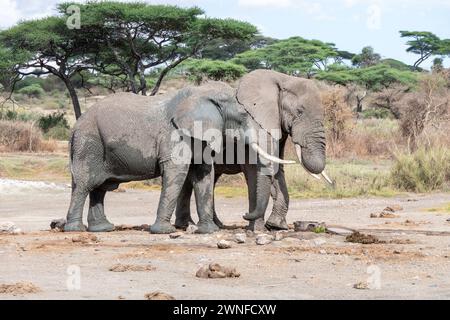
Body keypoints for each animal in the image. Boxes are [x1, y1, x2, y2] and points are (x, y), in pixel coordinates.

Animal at [64, 81, 288, 234]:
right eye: (243, 116)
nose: (244, 215)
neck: (203, 93)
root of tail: (75, 125)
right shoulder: (174, 134)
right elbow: (176, 172)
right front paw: (163, 231)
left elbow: (204, 174)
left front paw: (209, 231)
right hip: (89, 142)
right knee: (85, 184)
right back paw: (75, 229)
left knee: (100, 188)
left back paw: (103, 228)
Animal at [176, 69, 334, 230]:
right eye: (299, 111)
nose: (244, 215)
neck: (283, 78)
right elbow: (253, 170)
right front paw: (258, 229)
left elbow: (276, 167)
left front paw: (276, 226)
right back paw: (188, 225)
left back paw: (212, 224)